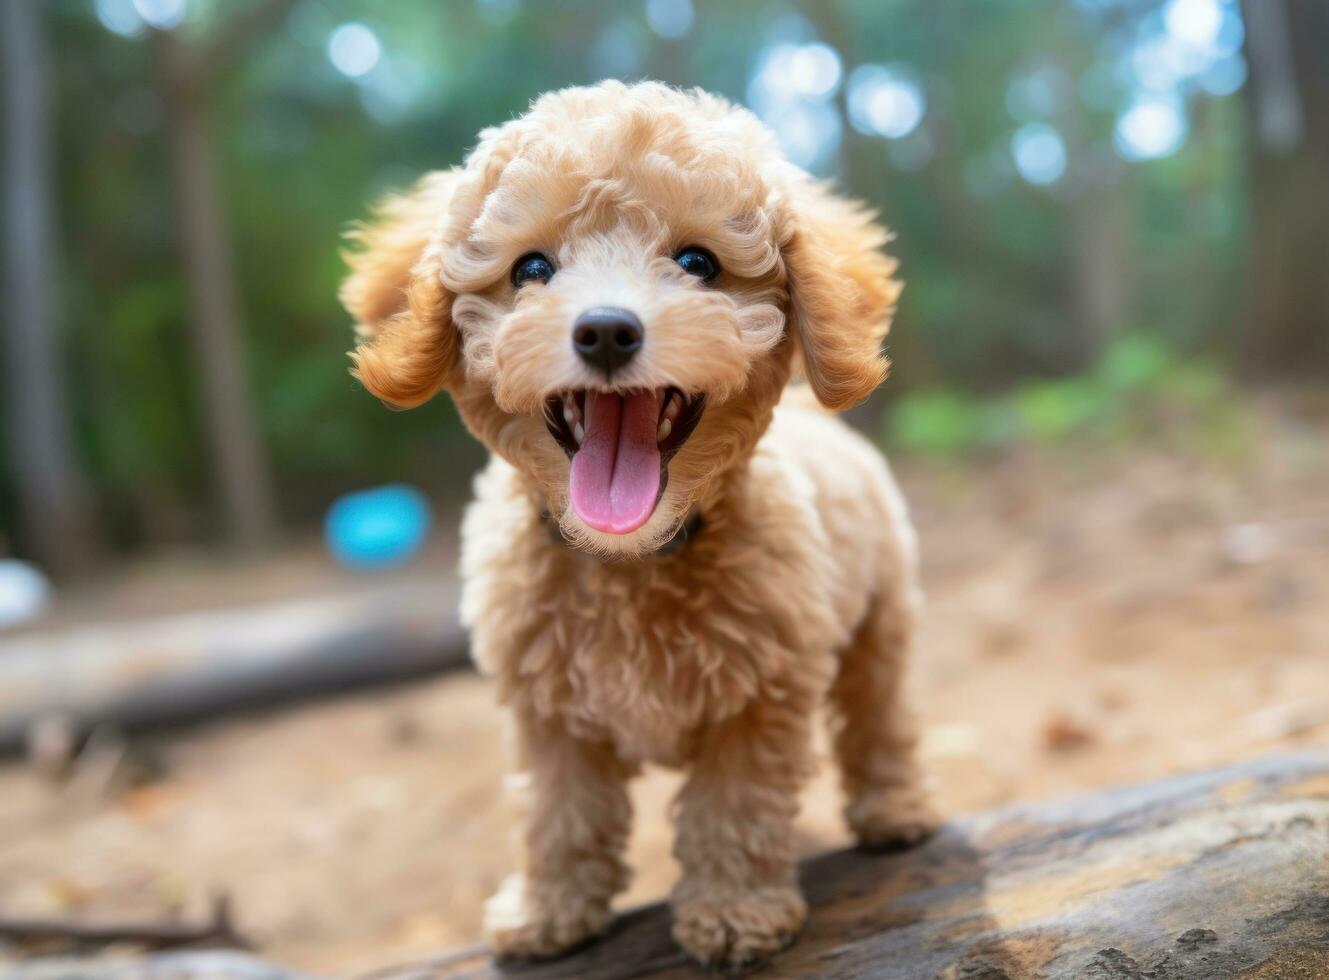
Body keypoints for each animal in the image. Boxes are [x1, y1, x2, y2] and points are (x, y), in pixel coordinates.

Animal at [342, 80, 935, 968]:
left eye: (696, 264)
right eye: (531, 269)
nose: (606, 329)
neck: (628, 561)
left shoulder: (758, 697)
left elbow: (734, 808)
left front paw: (732, 912)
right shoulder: (546, 710)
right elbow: (559, 813)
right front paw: (548, 912)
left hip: (881, 618)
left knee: (879, 713)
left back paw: (897, 810)